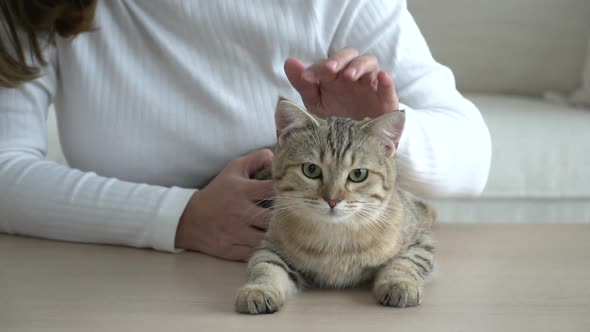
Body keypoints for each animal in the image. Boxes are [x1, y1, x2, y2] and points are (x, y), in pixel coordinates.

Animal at [237, 98, 440, 314]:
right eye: (311, 169)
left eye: (358, 174)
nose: (332, 199)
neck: (337, 240)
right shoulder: (271, 246)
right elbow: (265, 266)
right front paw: (258, 289)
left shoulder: (421, 241)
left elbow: (404, 262)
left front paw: (399, 283)